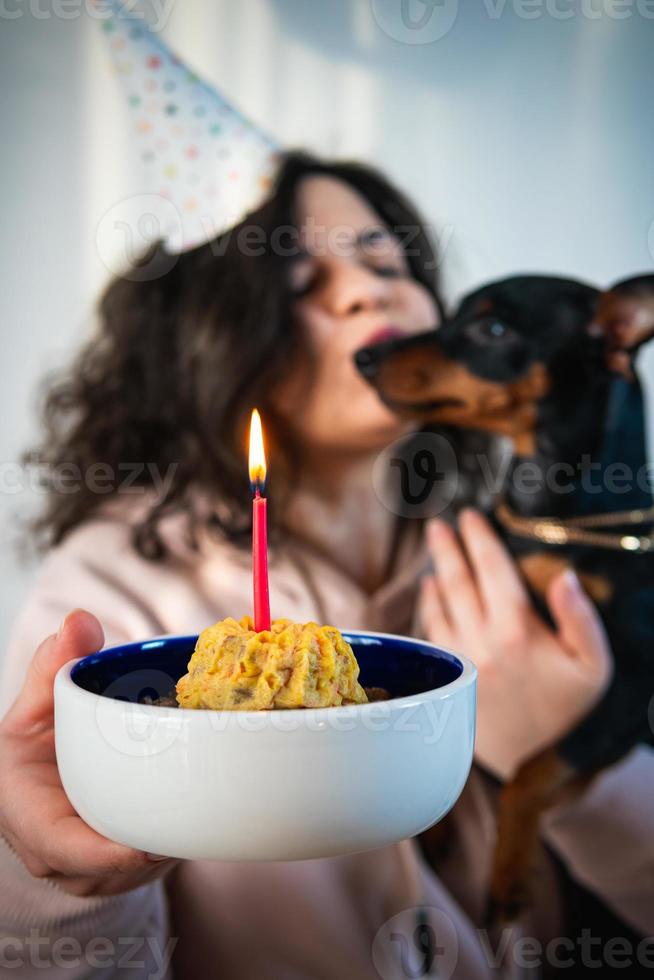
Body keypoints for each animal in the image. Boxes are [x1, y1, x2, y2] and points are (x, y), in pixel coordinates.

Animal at [358, 274, 654, 928]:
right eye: (451, 314)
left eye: (493, 329)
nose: (363, 356)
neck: (551, 522)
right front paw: (440, 831)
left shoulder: (626, 693)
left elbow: (532, 770)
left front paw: (509, 874)